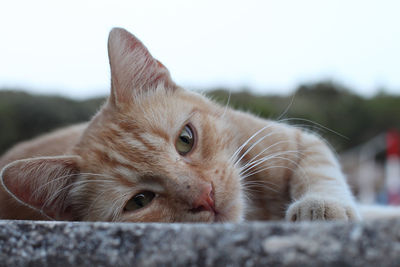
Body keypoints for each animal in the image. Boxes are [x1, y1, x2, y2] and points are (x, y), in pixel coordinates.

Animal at [0, 28, 362, 223]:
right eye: (140, 201)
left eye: (185, 140)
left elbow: (319, 171)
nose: (206, 197)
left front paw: (323, 207)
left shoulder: (297, 141)